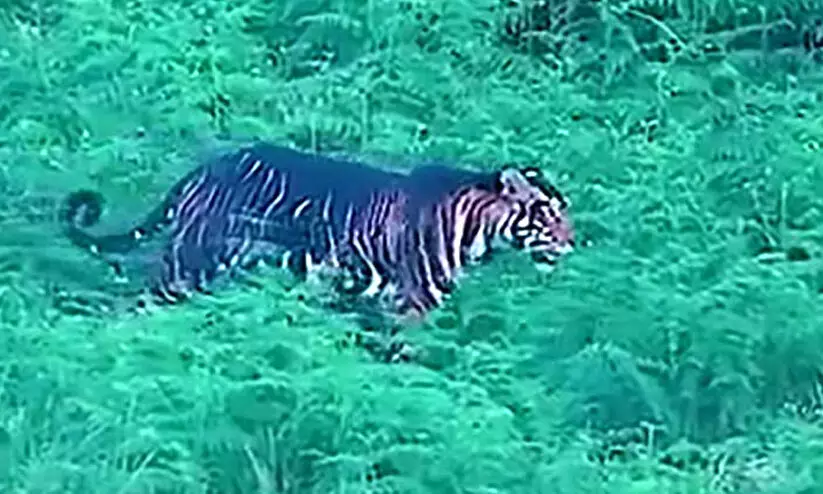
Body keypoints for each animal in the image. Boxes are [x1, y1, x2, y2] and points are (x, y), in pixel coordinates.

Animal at [60, 142, 575, 324]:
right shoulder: (410, 304)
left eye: (563, 210)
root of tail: (203, 170)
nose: (572, 241)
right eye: (547, 212)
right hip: (189, 267)